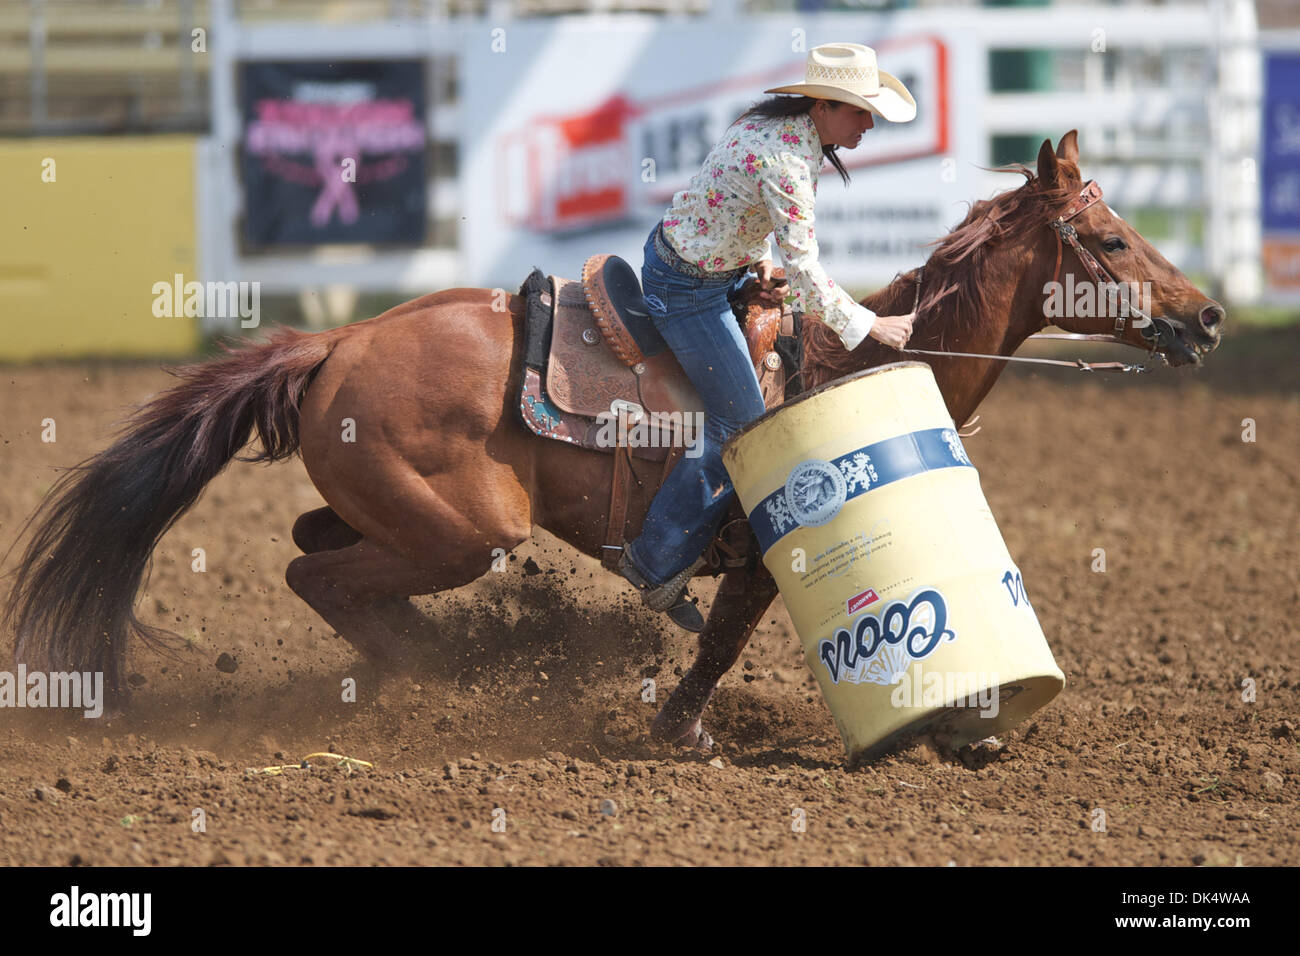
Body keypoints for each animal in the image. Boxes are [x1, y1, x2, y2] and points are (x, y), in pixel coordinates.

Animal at [2, 132, 1216, 749]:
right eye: (1112, 239)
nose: (1205, 316)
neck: (842, 365)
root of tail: (336, 339)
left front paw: (972, 727)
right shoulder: (762, 555)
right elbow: (719, 640)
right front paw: (681, 728)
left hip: (402, 510)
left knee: (314, 548)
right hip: (466, 530)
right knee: (316, 571)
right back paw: (448, 670)